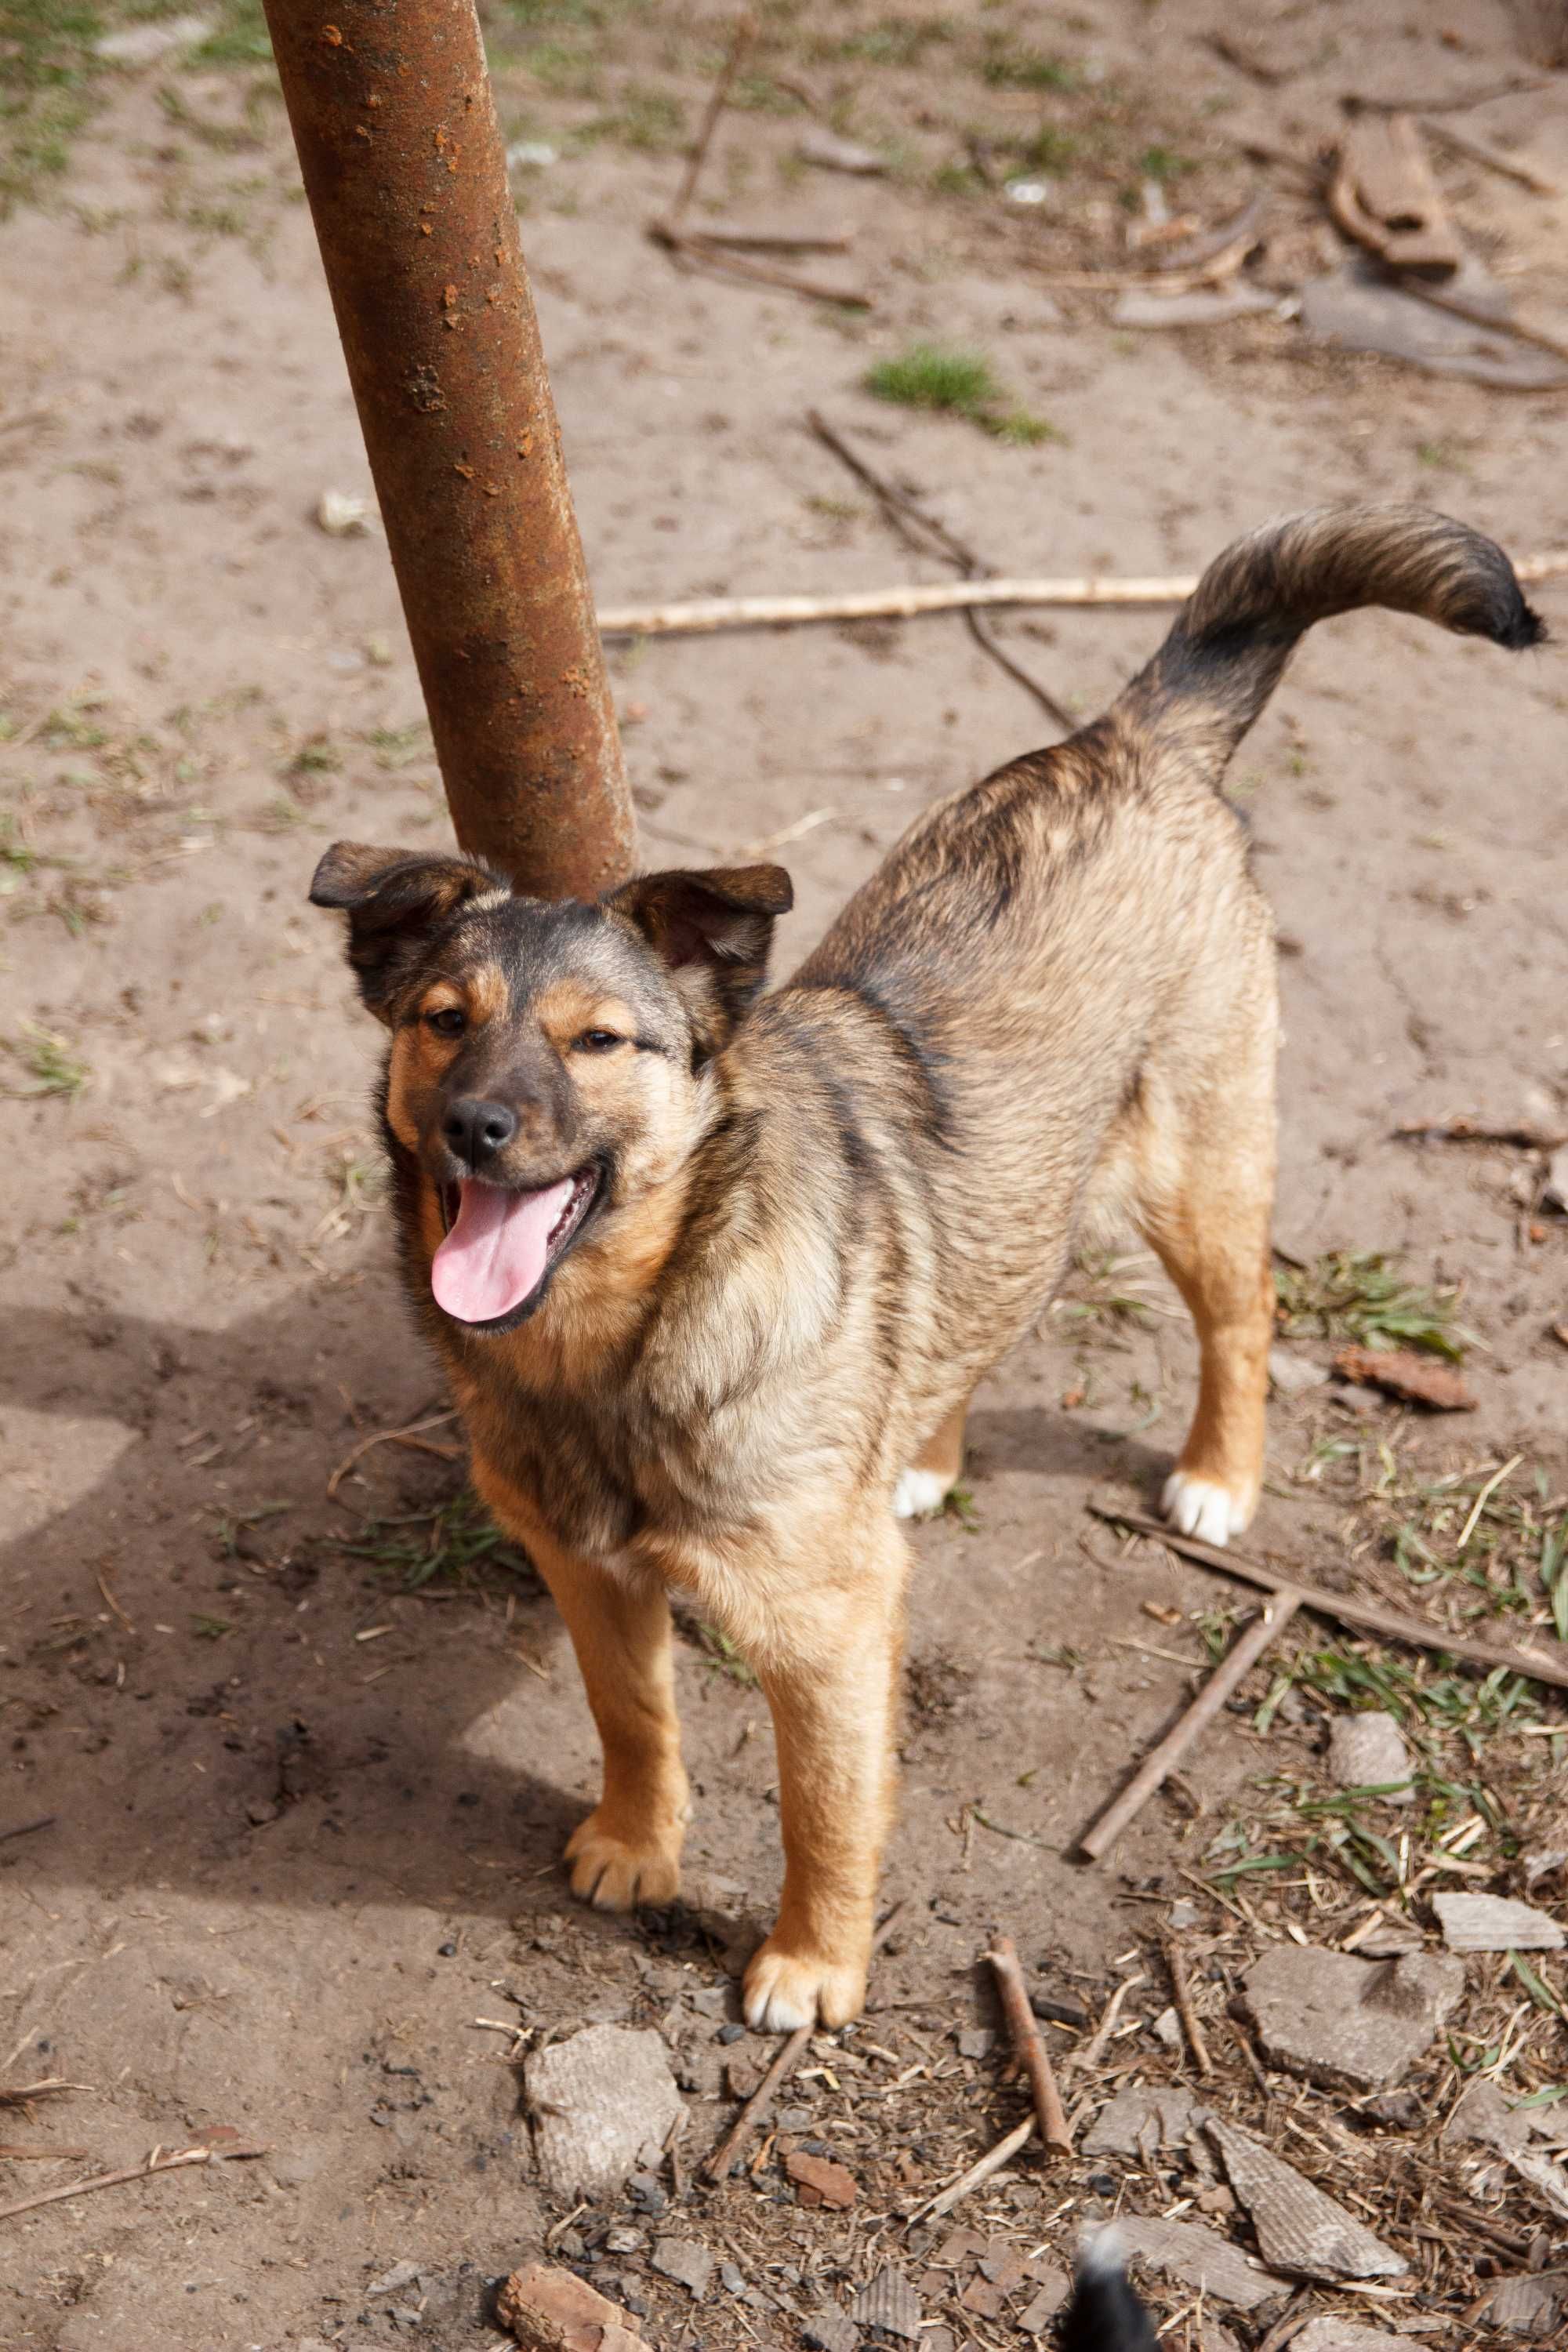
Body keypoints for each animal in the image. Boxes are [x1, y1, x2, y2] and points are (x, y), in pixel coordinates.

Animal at [312, 506, 1542, 2032]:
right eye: (442, 1019)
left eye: (599, 1042)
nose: (477, 1126)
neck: (624, 1336)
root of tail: (1134, 737)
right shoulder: (588, 1570)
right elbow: (634, 1717)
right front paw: (638, 1847)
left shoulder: (828, 1628)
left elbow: (827, 1806)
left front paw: (812, 1965)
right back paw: (923, 1452)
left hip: (1200, 1167)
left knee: (1244, 1318)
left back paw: (1219, 1474)